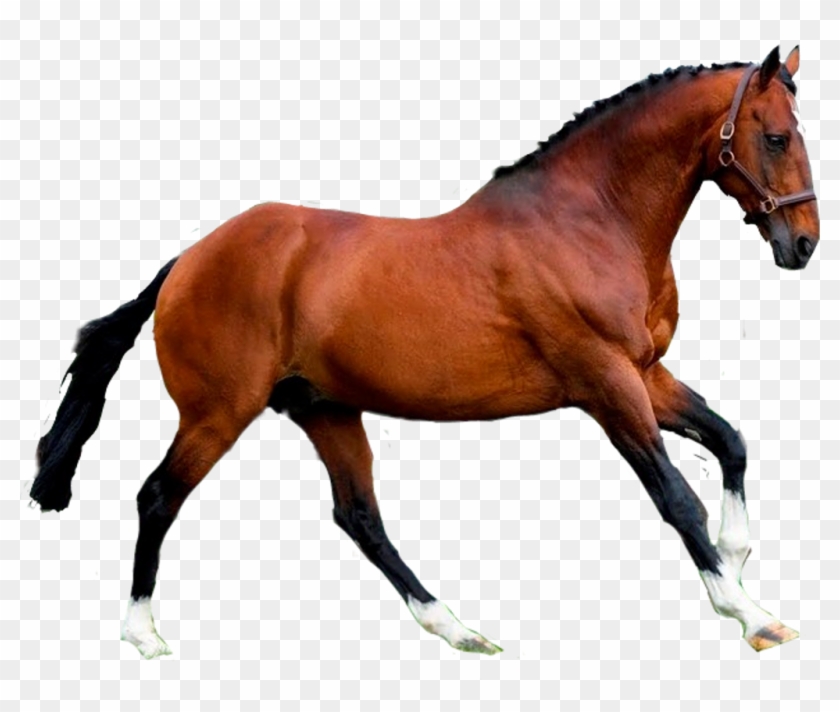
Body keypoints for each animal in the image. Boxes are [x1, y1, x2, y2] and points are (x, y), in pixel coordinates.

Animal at [32, 45, 818, 658]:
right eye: (778, 137)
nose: (803, 244)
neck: (590, 219)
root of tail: (187, 261)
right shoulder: (605, 383)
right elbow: (676, 496)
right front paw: (751, 614)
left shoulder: (644, 373)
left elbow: (729, 440)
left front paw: (738, 556)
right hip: (218, 412)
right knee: (157, 496)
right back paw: (142, 635)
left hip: (324, 408)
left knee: (359, 518)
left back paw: (458, 629)